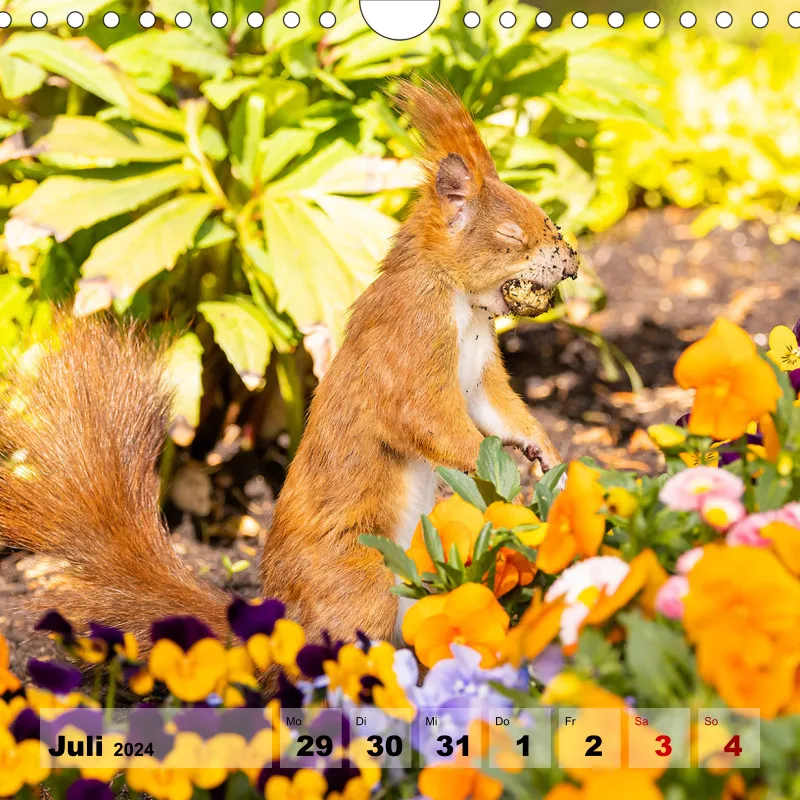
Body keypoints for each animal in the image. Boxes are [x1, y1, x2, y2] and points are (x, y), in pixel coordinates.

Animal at [0, 80, 577, 665]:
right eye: (510, 233)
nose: (571, 259)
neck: (460, 301)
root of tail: (287, 622)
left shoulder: (479, 372)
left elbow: (497, 409)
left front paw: (543, 452)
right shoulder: (409, 341)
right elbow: (427, 420)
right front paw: (504, 489)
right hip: (364, 582)